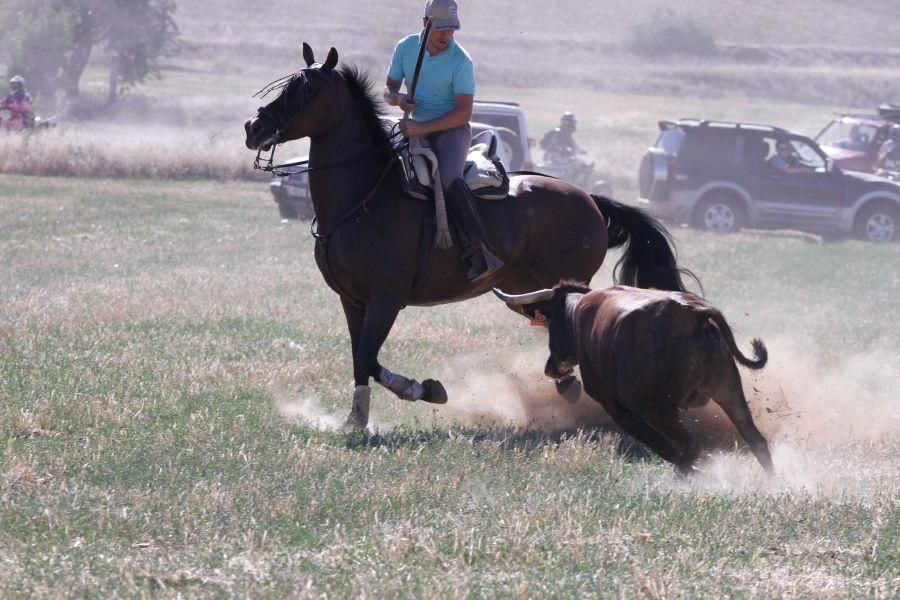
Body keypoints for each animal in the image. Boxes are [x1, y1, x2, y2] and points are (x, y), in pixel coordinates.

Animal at [243, 47, 692, 428]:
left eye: (308, 90)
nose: (254, 126)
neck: (362, 197)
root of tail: (589, 198)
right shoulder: (352, 301)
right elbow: (359, 359)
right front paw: (356, 421)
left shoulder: (385, 299)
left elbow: (370, 357)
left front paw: (425, 389)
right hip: (525, 290)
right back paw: (567, 382)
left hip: (563, 282)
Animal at [492, 284, 772, 476]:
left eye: (550, 324)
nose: (551, 367)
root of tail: (694, 314)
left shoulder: (616, 405)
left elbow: (658, 443)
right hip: (729, 392)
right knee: (756, 440)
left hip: (657, 408)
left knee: (689, 444)